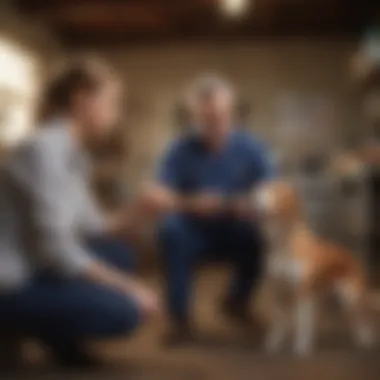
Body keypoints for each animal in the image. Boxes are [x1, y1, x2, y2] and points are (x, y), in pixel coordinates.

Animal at [252, 181, 378, 356]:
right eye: (262, 187)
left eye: (271, 190)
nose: (253, 192)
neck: (283, 241)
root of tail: (352, 257)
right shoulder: (277, 292)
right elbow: (279, 321)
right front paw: (275, 341)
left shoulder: (302, 294)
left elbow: (301, 323)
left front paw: (301, 346)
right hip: (330, 297)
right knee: (352, 318)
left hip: (350, 295)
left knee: (362, 318)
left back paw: (365, 338)